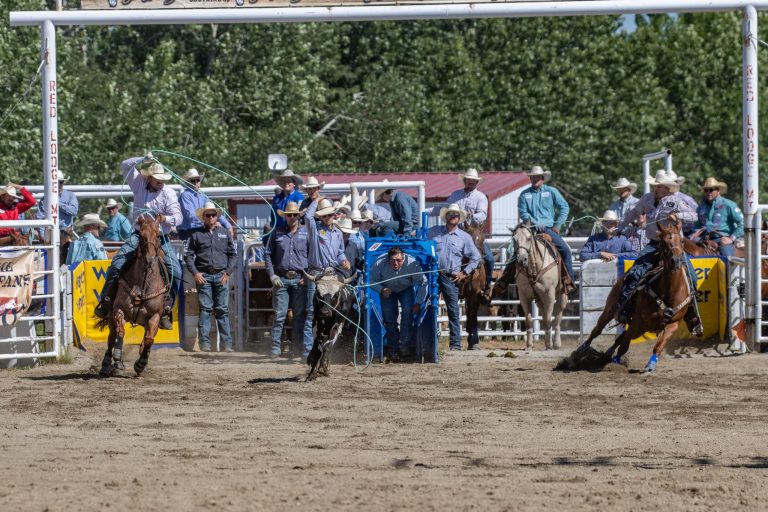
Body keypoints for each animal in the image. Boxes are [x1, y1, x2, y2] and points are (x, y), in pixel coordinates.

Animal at [97, 216, 169, 376]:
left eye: (158, 235)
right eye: (140, 235)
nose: (149, 260)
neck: (142, 285)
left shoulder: (155, 315)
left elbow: (149, 339)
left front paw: (141, 364)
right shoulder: (119, 309)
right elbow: (120, 332)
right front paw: (118, 358)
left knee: (145, 339)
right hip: (110, 315)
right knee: (112, 337)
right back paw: (107, 364)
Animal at [576, 215, 696, 372]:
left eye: (681, 241)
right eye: (664, 242)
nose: (675, 261)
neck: (670, 291)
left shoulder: (673, 323)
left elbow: (658, 346)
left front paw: (650, 365)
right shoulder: (638, 319)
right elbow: (624, 346)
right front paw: (615, 362)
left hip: (642, 327)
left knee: (621, 337)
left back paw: (607, 354)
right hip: (611, 310)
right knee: (598, 330)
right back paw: (583, 349)